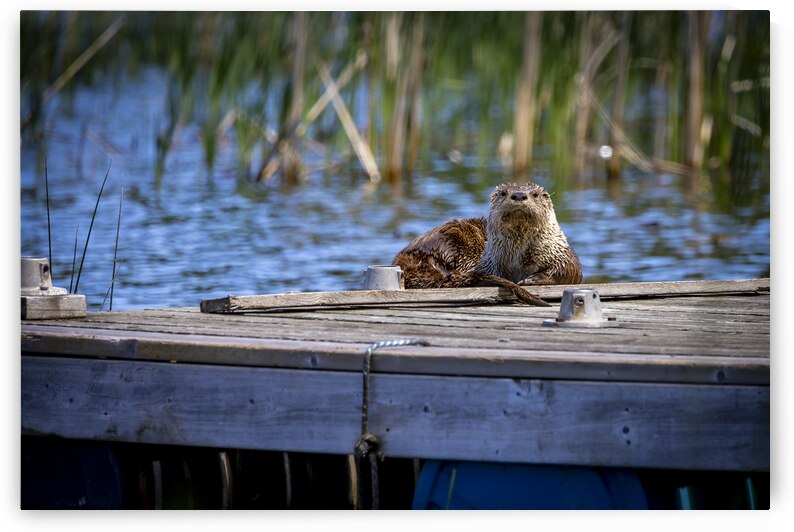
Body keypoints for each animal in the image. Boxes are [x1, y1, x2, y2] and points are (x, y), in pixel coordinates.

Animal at [392, 182, 582, 306]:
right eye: (504, 193)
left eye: (534, 194)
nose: (519, 195)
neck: (519, 260)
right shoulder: (489, 262)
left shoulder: (560, 252)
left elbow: (568, 270)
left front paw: (532, 279)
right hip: (449, 239)